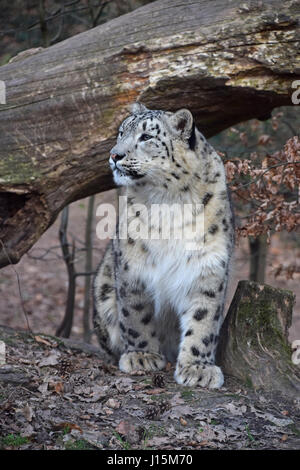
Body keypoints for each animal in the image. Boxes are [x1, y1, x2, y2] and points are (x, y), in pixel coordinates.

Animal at [94, 103, 234, 390]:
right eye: (122, 132)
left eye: (146, 137)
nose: (114, 155)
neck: (169, 200)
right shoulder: (132, 263)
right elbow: (136, 313)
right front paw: (142, 356)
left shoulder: (209, 265)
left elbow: (203, 318)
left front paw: (198, 368)